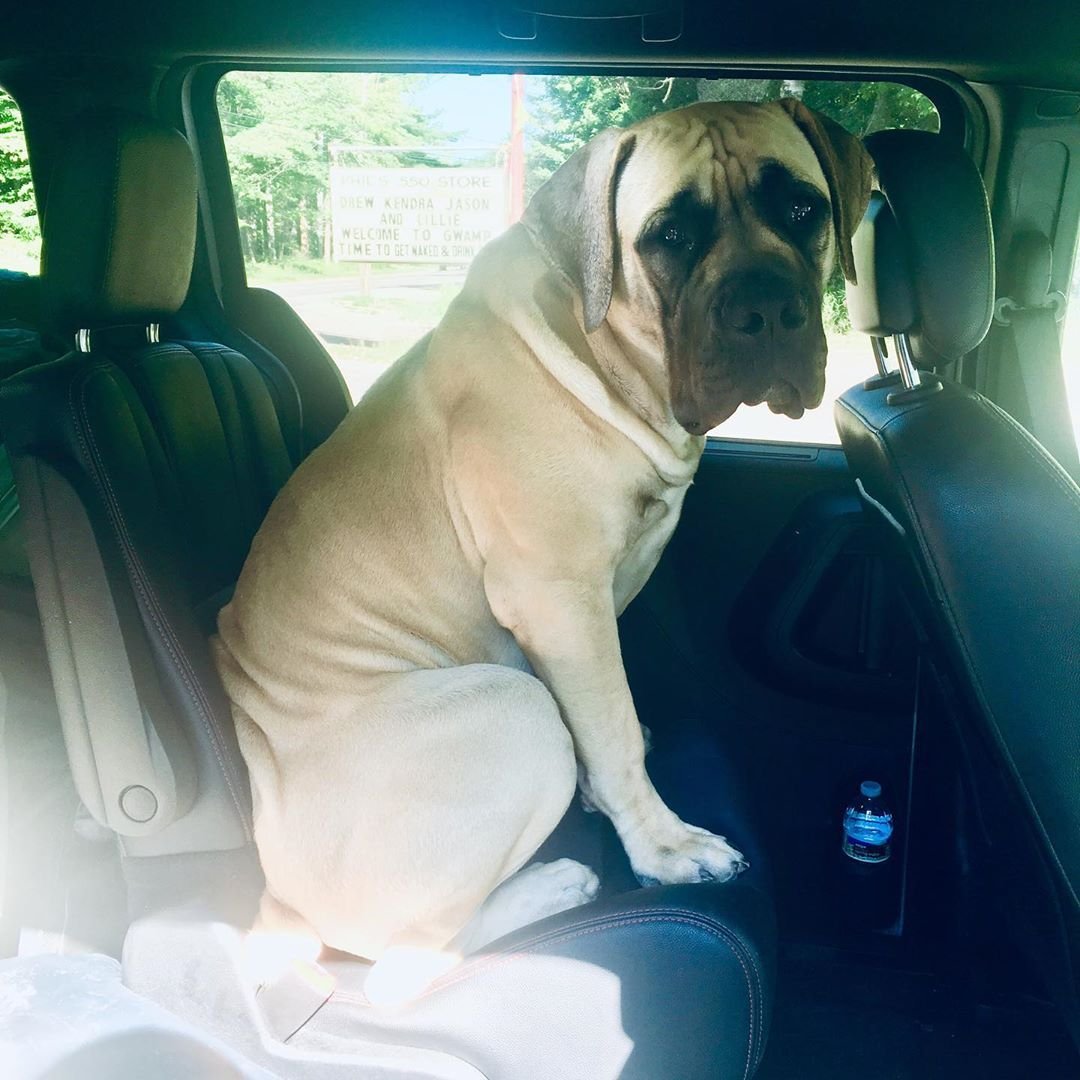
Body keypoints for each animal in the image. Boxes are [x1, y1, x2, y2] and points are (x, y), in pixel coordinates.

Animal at [214, 99, 872, 993]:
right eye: (670, 236)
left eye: (803, 208)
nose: (765, 311)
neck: (606, 356)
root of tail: (273, 904)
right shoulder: (558, 599)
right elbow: (613, 728)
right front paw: (663, 846)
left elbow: (606, 723)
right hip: (512, 710)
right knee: (403, 967)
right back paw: (557, 883)